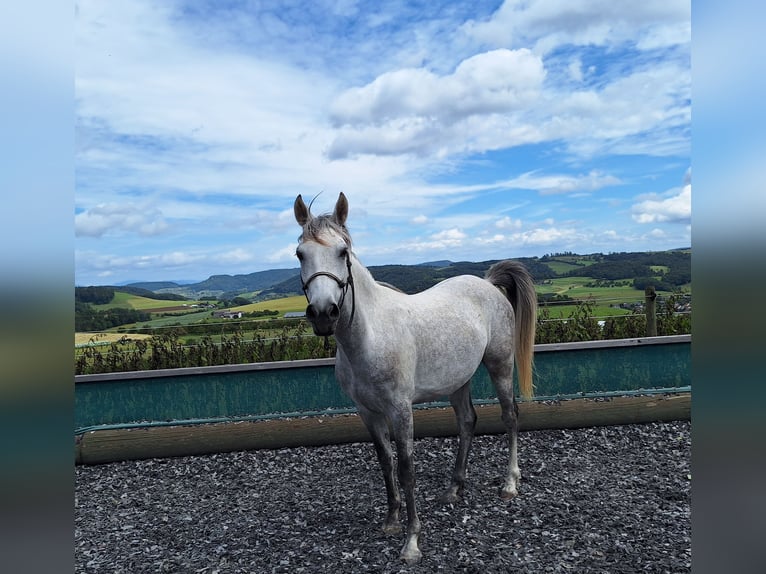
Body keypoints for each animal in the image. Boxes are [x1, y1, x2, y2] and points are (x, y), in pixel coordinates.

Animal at [294, 194, 540, 568]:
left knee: (510, 417)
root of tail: (486, 283)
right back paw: (453, 489)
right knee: (467, 421)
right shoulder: (368, 412)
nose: (323, 314)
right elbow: (386, 463)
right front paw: (391, 521)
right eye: (300, 253)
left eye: (343, 252)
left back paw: (510, 484)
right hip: (458, 380)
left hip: (500, 365)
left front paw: (412, 542)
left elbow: (407, 469)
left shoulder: (400, 410)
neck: (370, 336)